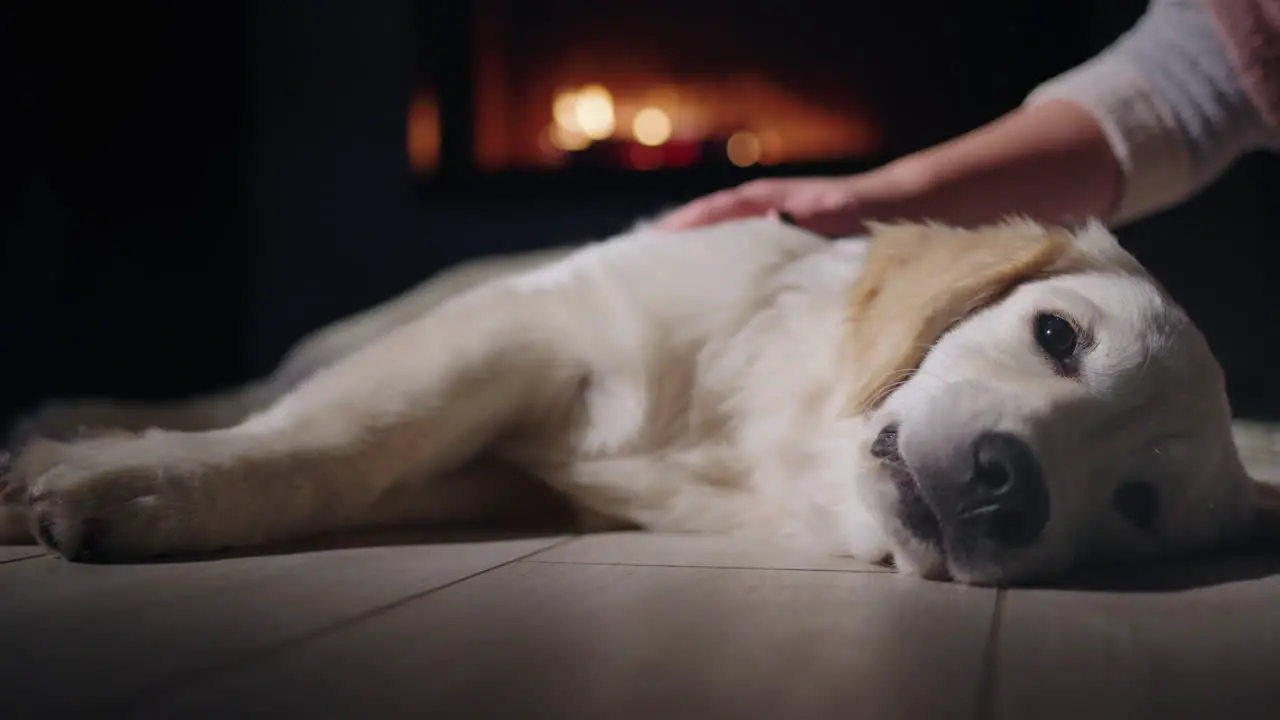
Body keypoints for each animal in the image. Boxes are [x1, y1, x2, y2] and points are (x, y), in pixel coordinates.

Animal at [0, 217, 1269, 584]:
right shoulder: (531, 326)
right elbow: (339, 436)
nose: (1009, 488)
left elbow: (344, 460)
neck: (757, 448)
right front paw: (141, 477)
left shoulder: (490, 471)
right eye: (1056, 336)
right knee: (260, 391)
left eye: (1136, 505)